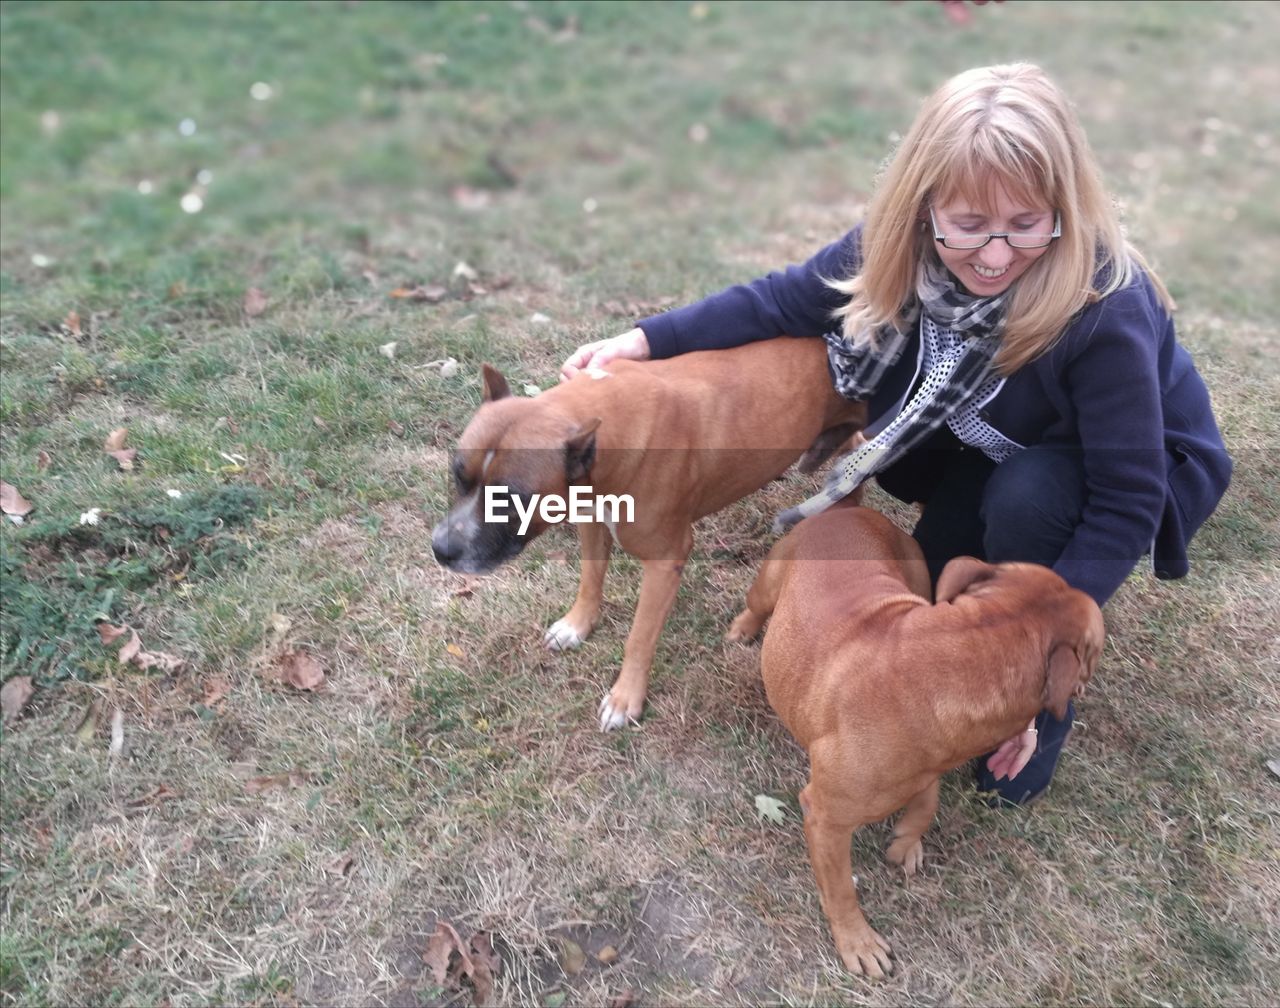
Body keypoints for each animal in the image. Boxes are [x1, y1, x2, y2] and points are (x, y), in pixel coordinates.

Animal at [432, 342, 870, 726]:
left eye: (511, 499)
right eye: (458, 475)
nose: (441, 549)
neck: (608, 429)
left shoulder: (664, 563)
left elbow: (639, 638)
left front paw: (625, 699)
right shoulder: (593, 521)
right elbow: (590, 581)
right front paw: (578, 625)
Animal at [727, 504, 1105, 977]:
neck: (958, 653)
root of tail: (848, 506)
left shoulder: (929, 761)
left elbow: (927, 801)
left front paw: (908, 840)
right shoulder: (827, 819)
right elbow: (841, 890)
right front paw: (856, 940)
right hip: (770, 583)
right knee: (756, 605)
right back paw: (743, 627)